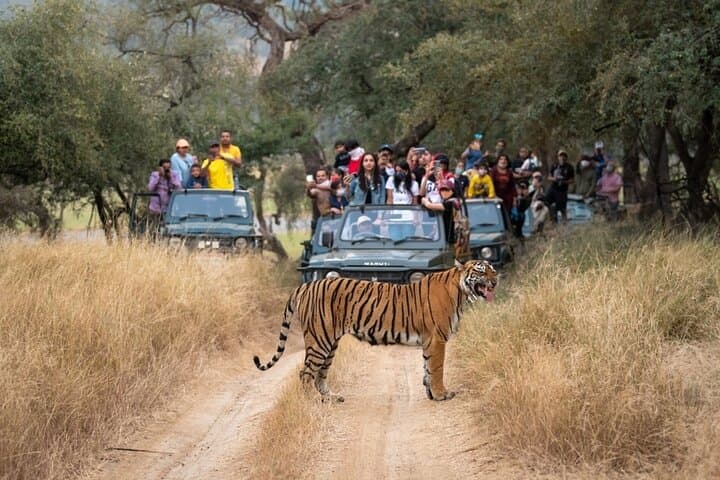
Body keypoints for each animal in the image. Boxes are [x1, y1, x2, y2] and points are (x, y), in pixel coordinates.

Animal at [253, 259, 497, 402]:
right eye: (481, 271)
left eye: (493, 270)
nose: (495, 281)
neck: (461, 291)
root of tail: (307, 285)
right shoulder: (437, 339)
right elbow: (437, 369)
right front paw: (441, 394)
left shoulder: (430, 341)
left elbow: (427, 368)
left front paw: (431, 393)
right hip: (319, 340)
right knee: (305, 373)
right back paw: (312, 402)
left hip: (329, 343)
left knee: (319, 374)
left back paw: (331, 398)